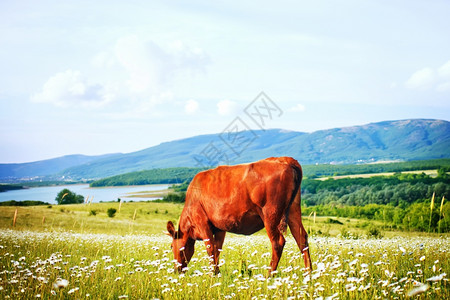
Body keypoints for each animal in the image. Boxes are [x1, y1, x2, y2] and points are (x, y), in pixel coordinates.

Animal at [167, 157, 312, 274]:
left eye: (171, 246)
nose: (176, 270)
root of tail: (286, 160)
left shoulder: (202, 223)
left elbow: (210, 249)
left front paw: (212, 275)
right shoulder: (220, 228)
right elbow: (217, 249)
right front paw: (217, 273)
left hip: (270, 214)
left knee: (278, 242)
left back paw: (269, 274)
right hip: (293, 211)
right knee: (302, 238)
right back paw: (309, 273)